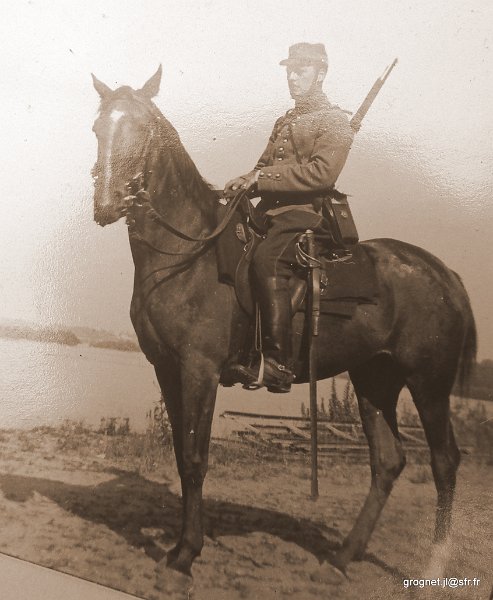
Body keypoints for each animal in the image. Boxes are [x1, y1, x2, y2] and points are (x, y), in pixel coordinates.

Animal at [90, 67, 474, 576]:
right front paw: (181, 544)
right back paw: (344, 554)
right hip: (374, 380)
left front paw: (186, 551)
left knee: (444, 460)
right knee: (387, 461)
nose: (108, 205)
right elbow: (179, 453)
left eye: (141, 130)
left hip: (428, 382)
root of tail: (443, 272)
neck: (186, 255)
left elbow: (194, 457)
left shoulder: (199, 370)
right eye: (98, 128)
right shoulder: (166, 369)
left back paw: (434, 565)